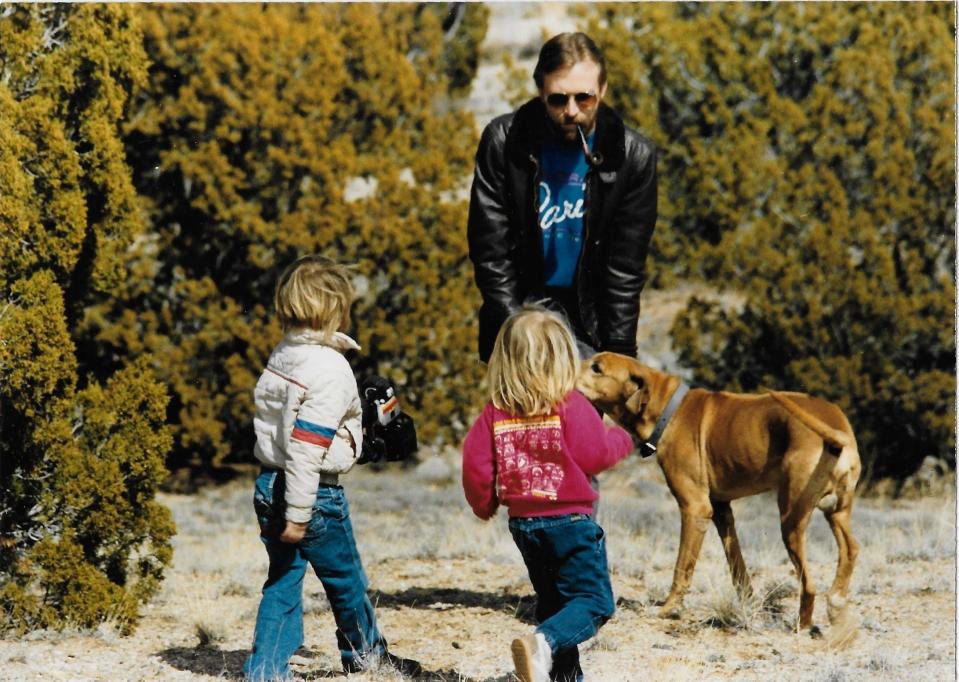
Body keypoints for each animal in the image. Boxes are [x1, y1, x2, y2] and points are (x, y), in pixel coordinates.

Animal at [576, 354, 864, 628]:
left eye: (597, 368)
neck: (668, 410)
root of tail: (839, 431)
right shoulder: (721, 510)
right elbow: (738, 567)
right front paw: (748, 603)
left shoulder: (695, 508)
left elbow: (682, 567)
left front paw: (669, 608)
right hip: (836, 512)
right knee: (850, 549)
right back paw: (836, 602)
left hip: (791, 518)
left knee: (809, 585)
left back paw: (802, 625)